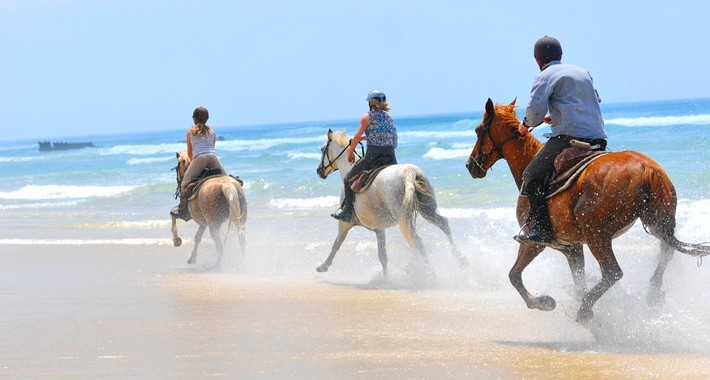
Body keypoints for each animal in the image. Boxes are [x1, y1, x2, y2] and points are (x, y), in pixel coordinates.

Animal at [318, 129, 468, 274]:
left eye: (322, 149)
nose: (319, 170)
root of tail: (409, 172)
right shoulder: (379, 230)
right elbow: (383, 257)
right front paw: (386, 278)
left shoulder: (345, 224)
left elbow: (336, 244)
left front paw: (323, 266)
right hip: (427, 209)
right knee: (443, 225)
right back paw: (459, 259)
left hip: (405, 218)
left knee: (416, 240)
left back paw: (427, 270)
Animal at [464, 98, 708, 320]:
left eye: (478, 130)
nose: (470, 166)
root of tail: (646, 168)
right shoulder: (571, 248)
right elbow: (577, 280)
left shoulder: (534, 242)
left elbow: (514, 275)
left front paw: (543, 302)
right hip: (656, 222)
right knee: (666, 252)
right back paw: (652, 293)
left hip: (596, 235)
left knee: (612, 272)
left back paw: (585, 308)